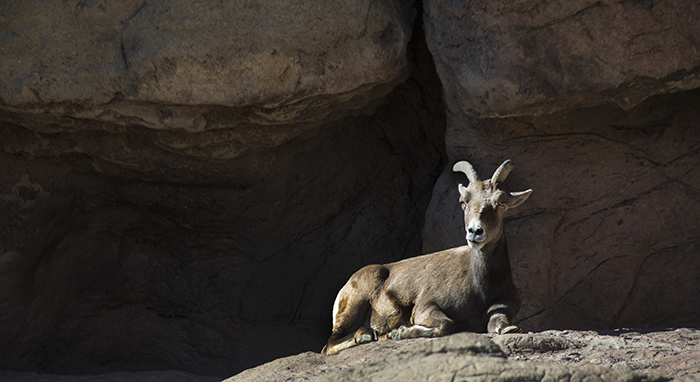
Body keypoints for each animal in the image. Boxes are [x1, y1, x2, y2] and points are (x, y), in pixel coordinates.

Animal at [322, 159, 532, 356]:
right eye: (463, 202)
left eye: (501, 202)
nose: (475, 232)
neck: (480, 288)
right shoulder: (426, 306)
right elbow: (447, 325)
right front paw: (399, 332)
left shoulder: (501, 308)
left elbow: (500, 324)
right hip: (355, 301)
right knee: (330, 344)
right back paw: (366, 335)